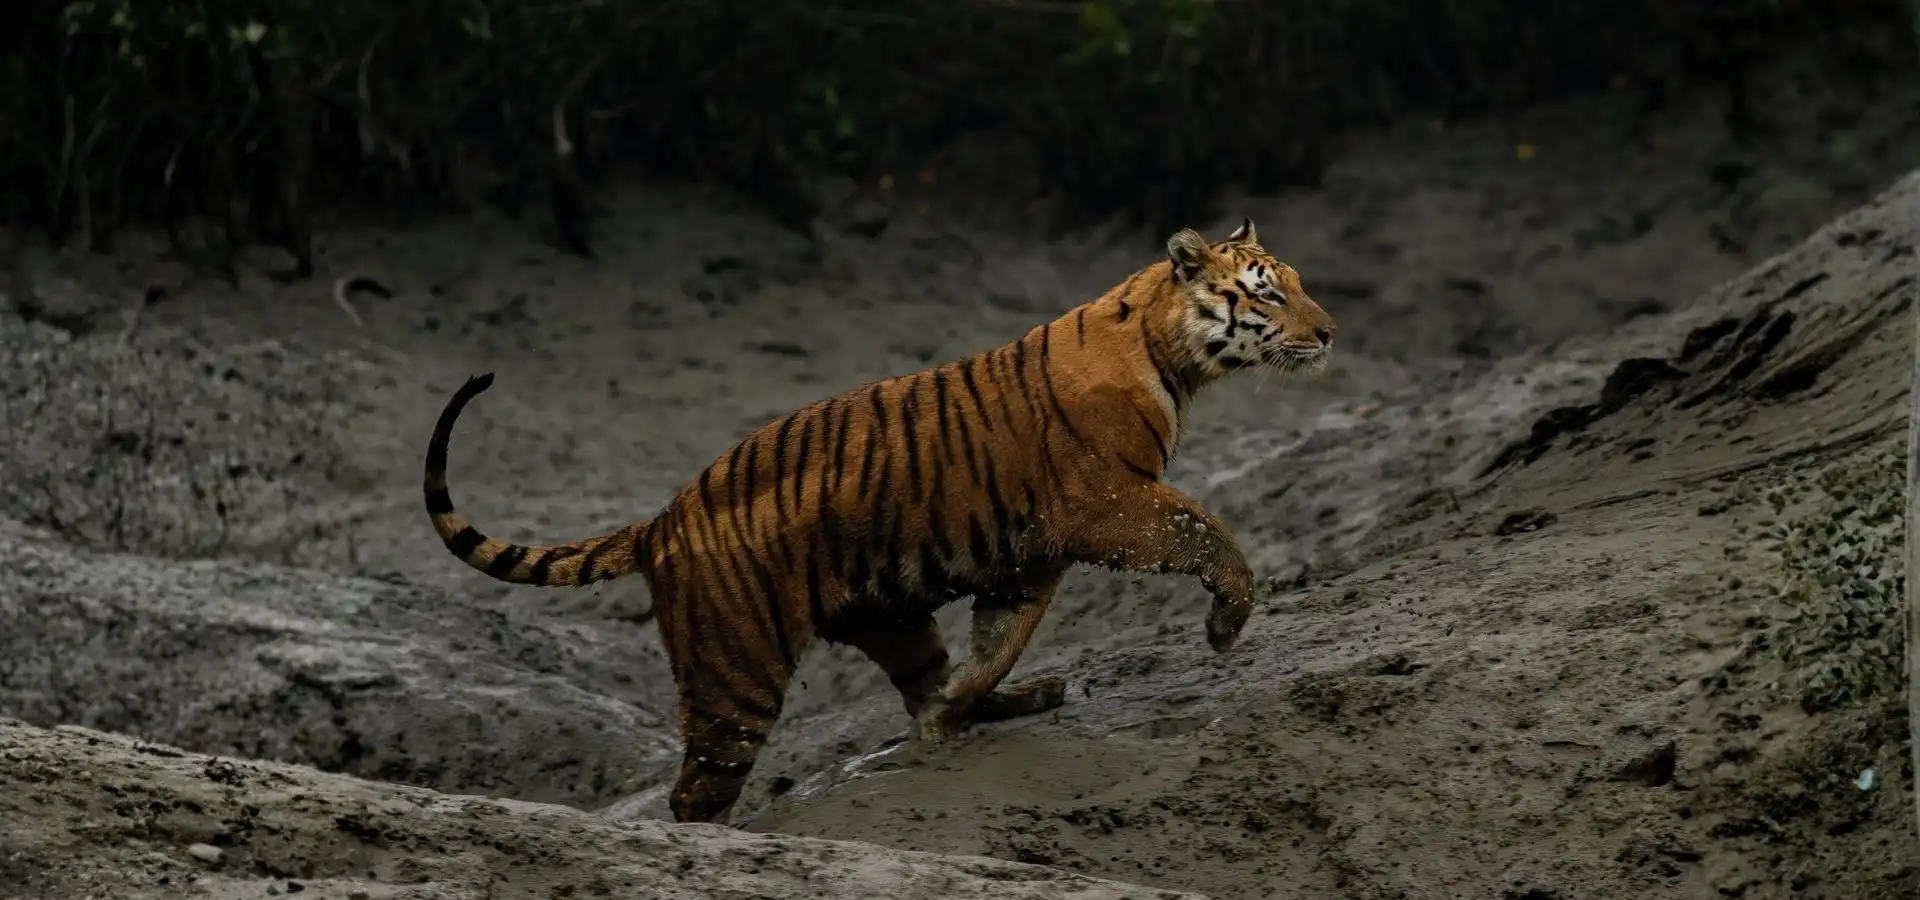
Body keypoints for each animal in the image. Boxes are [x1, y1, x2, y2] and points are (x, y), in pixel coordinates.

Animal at [422, 217, 1337, 825]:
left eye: (1301, 282)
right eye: (1268, 293)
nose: (1330, 333)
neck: (1168, 352)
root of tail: (657, 522)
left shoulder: (1032, 554)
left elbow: (998, 641)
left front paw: (968, 700)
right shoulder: (1109, 503)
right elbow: (1206, 532)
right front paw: (1228, 623)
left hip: (887, 614)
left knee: (925, 674)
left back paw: (990, 706)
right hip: (733, 679)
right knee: (694, 794)